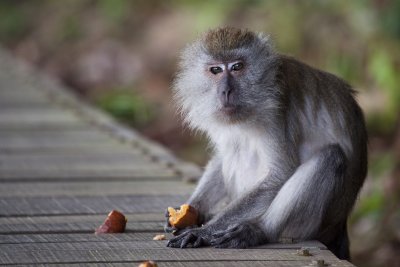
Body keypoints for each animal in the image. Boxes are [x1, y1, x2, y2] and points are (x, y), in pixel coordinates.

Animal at [165, 26, 366, 260]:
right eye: (215, 70)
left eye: (237, 67)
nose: (225, 90)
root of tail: (339, 227)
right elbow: (222, 156)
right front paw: (193, 211)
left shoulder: (278, 110)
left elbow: (280, 174)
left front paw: (204, 230)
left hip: (309, 226)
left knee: (331, 157)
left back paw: (258, 230)